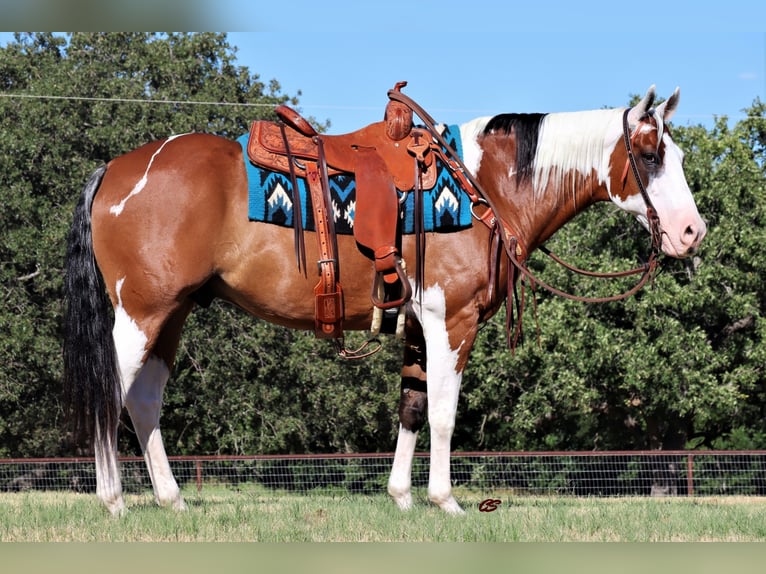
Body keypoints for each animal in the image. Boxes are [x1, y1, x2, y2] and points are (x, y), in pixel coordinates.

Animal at [64, 86, 708, 516]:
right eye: (651, 155)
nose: (691, 233)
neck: (485, 189)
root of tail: (114, 170)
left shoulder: (420, 325)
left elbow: (412, 408)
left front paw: (400, 497)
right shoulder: (452, 320)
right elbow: (445, 413)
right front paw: (445, 501)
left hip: (170, 316)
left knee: (143, 402)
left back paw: (171, 500)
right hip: (140, 315)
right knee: (111, 396)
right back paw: (113, 499)